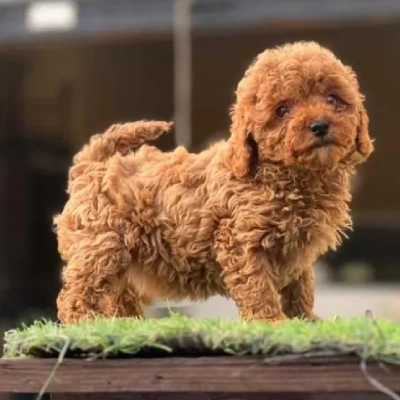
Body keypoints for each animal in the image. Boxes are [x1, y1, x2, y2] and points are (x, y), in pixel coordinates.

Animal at [54, 40, 374, 324]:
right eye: (283, 110)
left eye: (333, 99)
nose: (319, 126)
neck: (287, 176)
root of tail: (92, 165)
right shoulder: (242, 239)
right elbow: (257, 283)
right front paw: (271, 321)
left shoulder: (296, 250)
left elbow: (300, 286)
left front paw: (305, 320)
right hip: (102, 243)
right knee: (76, 291)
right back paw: (84, 320)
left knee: (118, 292)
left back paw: (129, 322)